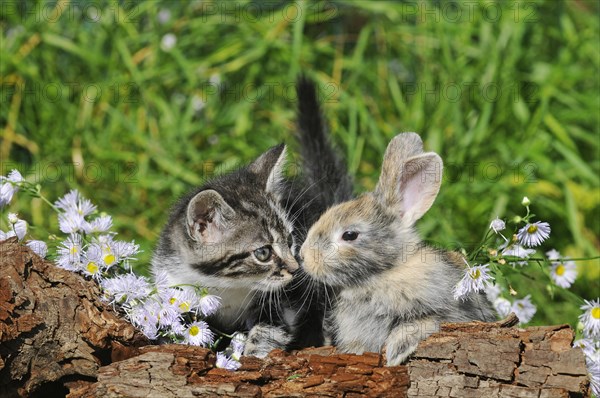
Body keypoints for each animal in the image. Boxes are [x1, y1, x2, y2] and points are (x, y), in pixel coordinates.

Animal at [151, 77, 352, 354]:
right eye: (263, 253)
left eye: (290, 240)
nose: (295, 268)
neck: (228, 288)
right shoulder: (174, 283)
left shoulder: (285, 301)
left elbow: (269, 330)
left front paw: (254, 352)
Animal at [298, 132, 492, 366]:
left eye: (350, 235)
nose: (304, 257)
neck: (384, 274)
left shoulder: (454, 312)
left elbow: (426, 321)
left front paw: (395, 352)